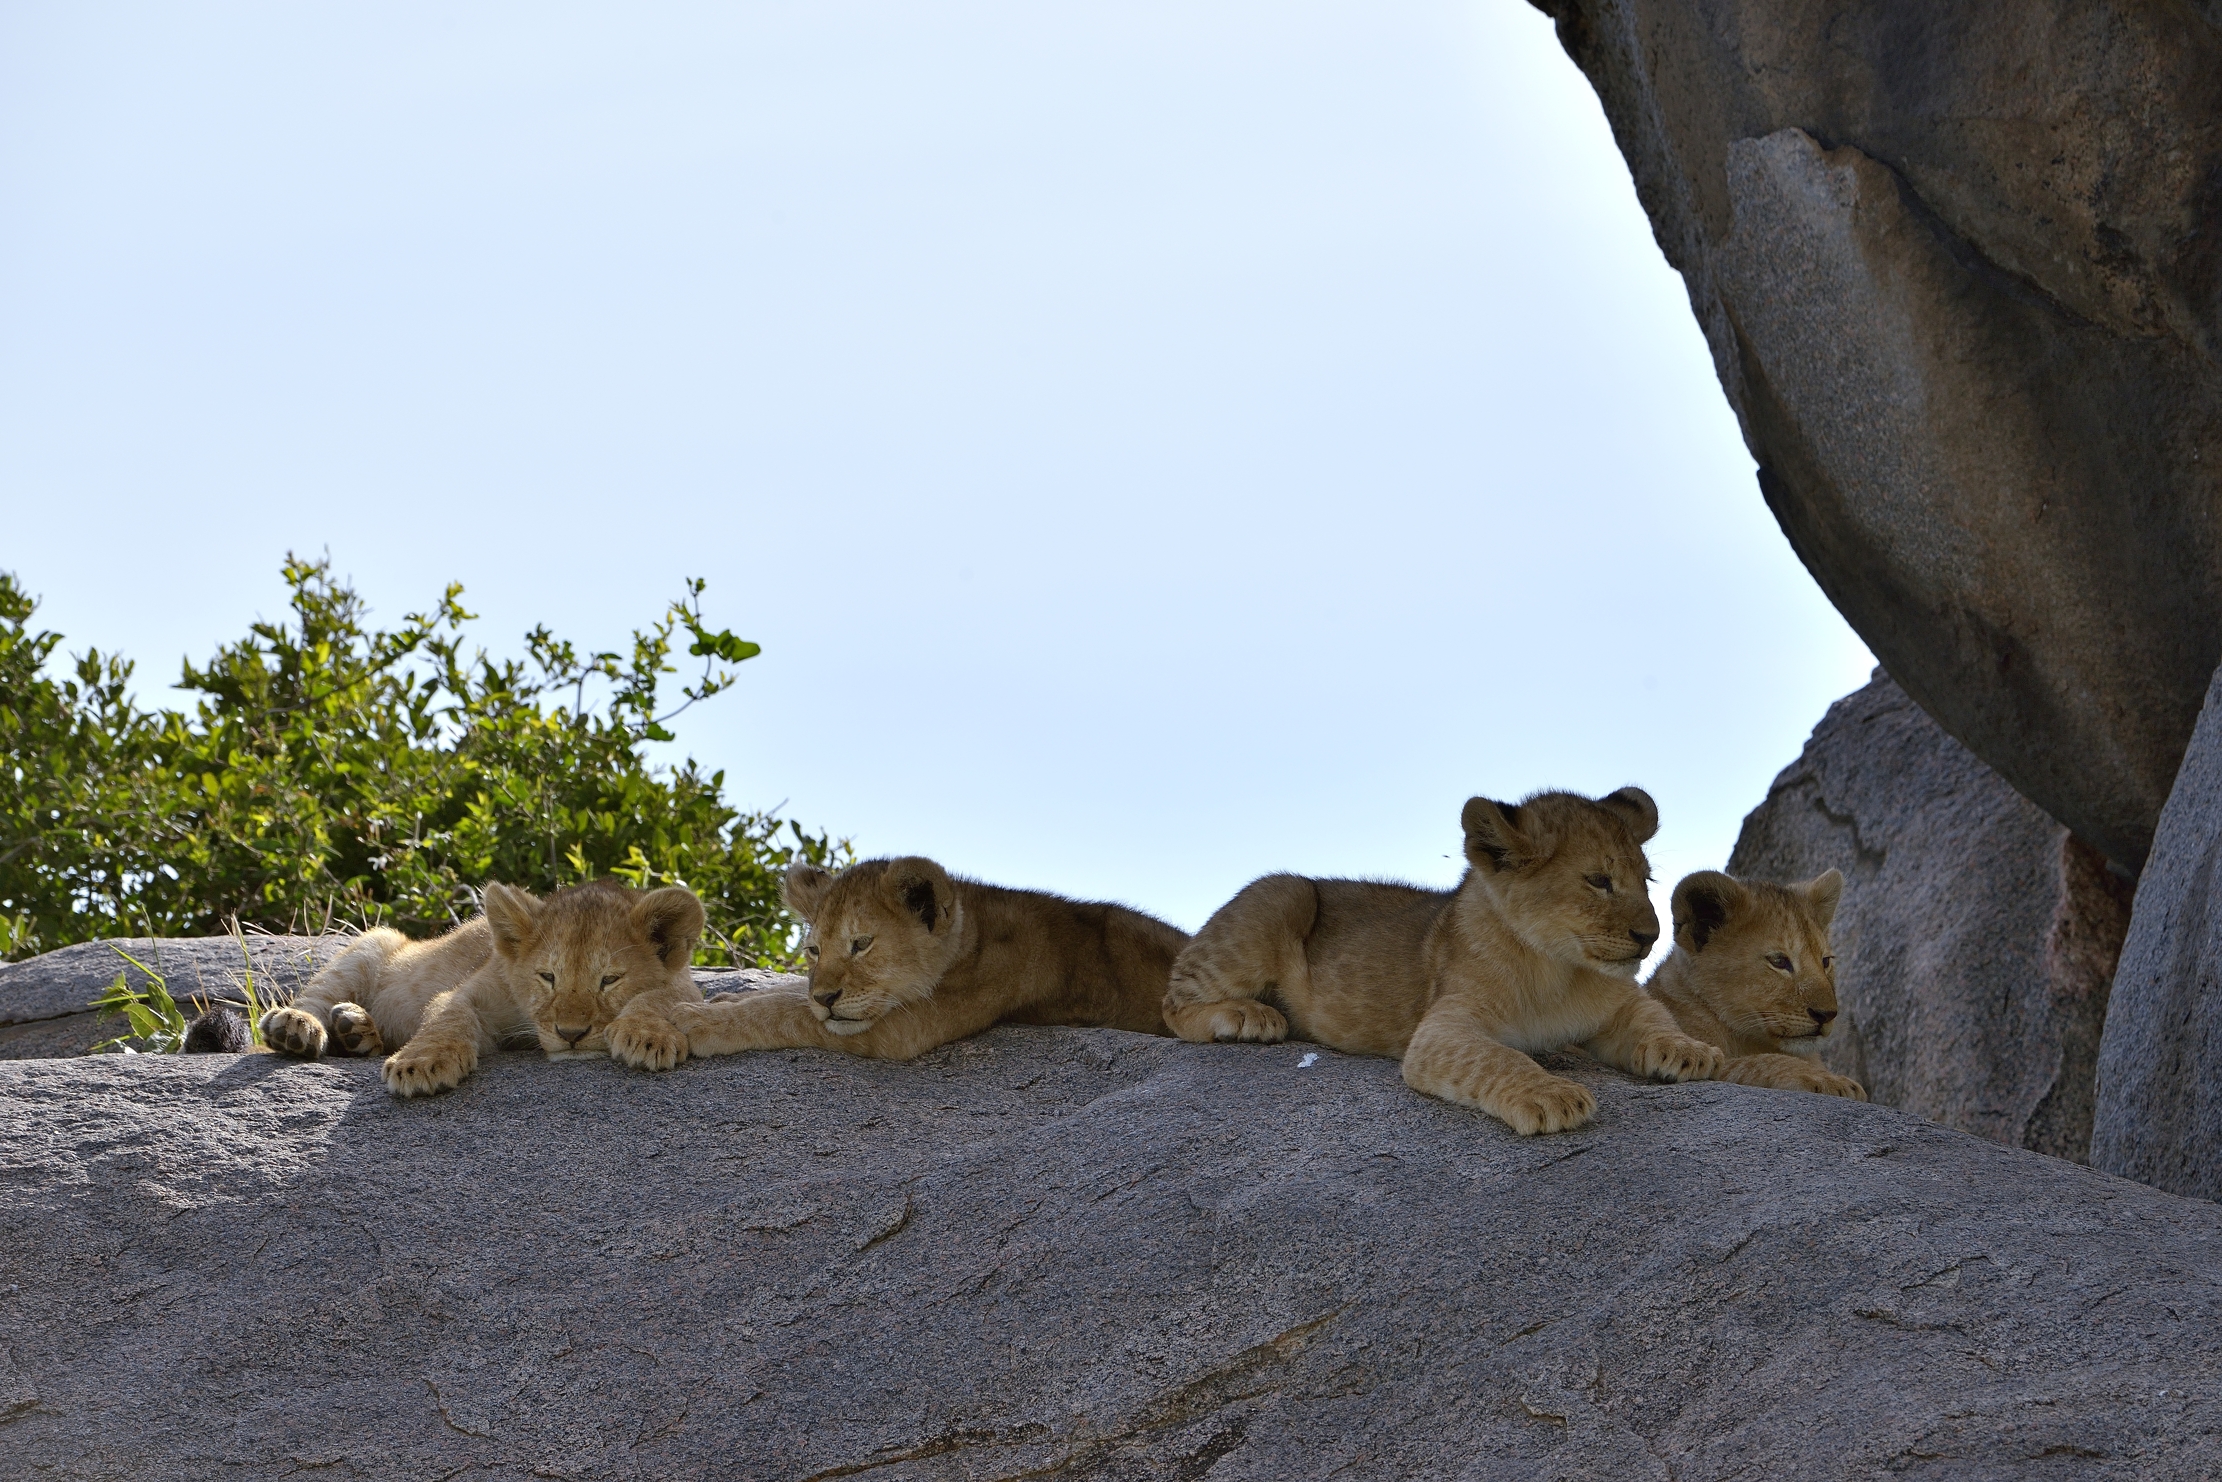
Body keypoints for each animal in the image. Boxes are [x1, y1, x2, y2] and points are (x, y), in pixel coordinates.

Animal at [260, 879, 708, 1097]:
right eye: (547, 977)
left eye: (610, 980)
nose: (571, 1035)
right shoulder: (473, 990)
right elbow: (447, 1016)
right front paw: (420, 1065)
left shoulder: (687, 987)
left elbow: (660, 997)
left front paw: (646, 1036)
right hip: (374, 942)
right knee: (315, 996)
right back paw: (297, 1028)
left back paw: (356, 1031)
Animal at [669, 856, 1182, 1060]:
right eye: (814, 950)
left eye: (862, 944)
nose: (826, 997)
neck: (973, 932)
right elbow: (791, 995)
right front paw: (724, 1001)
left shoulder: (906, 1029)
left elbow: (787, 1014)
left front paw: (695, 1020)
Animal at [1161, 787, 1723, 1135]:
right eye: (1598, 881)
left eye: (1646, 880)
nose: (1650, 936)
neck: (1558, 969)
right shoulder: (1442, 1030)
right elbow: (1500, 1057)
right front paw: (1553, 1097)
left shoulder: (1618, 1002)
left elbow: (1652, 1016)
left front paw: (1690, 1051)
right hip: (1283, 893)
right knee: (1173, 1003)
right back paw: (1248, 1017)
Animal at [1642, 868, 1866, 1100]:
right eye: (1779, 961)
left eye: (1825, 961)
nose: (1827, 1015)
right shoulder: (1702, 1059)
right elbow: (1757, 1062)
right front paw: (1832, 1081)